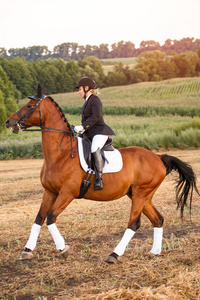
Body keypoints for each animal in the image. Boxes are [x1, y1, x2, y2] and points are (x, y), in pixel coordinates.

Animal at [5, 84, 198, 262]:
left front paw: (63, 248)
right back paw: (155, 252)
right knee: (157, 219)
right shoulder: (50, 192)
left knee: (134, 223)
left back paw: (114, 255)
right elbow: (39, 218)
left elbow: (51, 218)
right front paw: (27, 250)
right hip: (140, 195)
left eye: (30, 105)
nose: (8, 122)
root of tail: (158, 157)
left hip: (141, 193)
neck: (60, 154)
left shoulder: (67, 193)